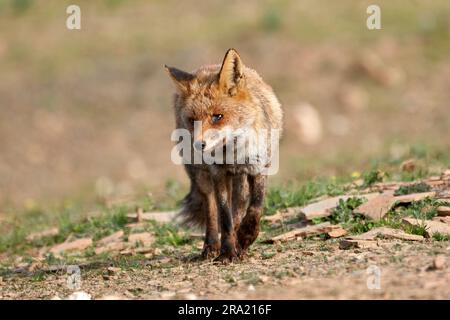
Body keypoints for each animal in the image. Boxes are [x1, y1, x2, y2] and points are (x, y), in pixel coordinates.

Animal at [165, 48, 284, 262]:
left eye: (217, 117)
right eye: (193, 120)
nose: (198, 145)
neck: (234, 154)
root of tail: (205, 67)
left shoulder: (260, 167)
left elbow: (255, 208)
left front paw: (245, 237)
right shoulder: (218, 174)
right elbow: (224, 217)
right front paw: (227, 251)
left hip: (240, 179)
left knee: (240, 204)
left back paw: (240, 245)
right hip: (202, 176)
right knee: (212, 211)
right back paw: (212, 246)